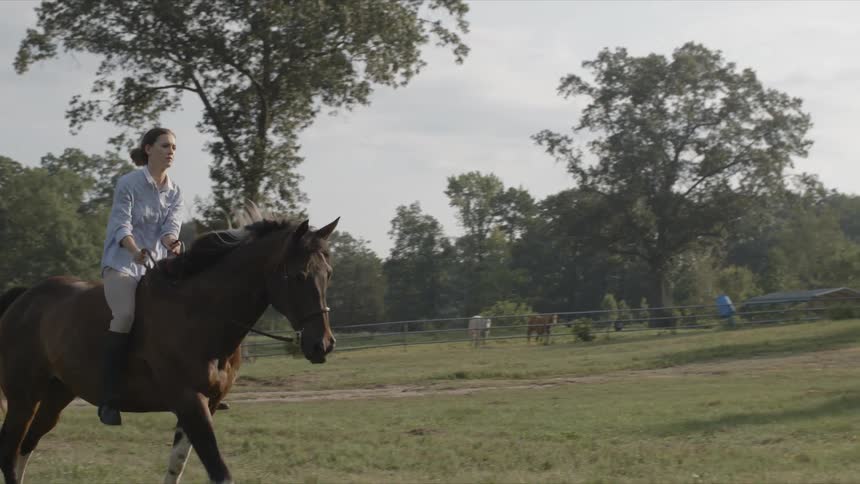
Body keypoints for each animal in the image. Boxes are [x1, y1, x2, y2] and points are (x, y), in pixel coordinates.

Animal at [0, 210, 339, 484]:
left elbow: (177, 464)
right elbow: (220, 472)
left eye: (328, 274)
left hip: (56, 395)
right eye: (299, 276)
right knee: (10, 451)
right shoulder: (189, 401)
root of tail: (25, 298)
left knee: (26, 447)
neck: (200, 315)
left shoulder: (206, 405)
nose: (322, 345)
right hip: (23, 398)